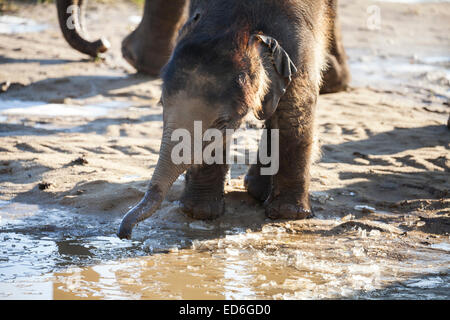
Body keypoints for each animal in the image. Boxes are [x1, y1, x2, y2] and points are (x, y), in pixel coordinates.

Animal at [118, 0, 342, 239]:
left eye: (222, 123)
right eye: (161, 103)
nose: (125, 233)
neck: (237, 21)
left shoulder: (297, 39)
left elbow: (294, 107)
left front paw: (288, 214)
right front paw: (199, 212)